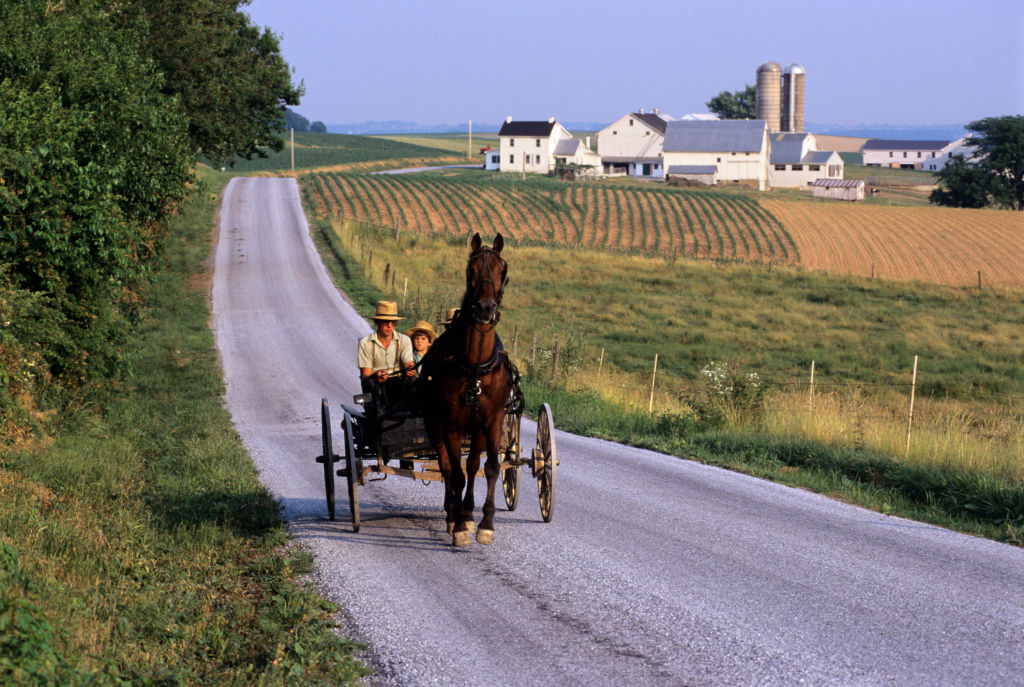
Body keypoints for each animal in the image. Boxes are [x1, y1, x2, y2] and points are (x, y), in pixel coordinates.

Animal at [417, 233, 509, 544]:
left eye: (502, 270)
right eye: (471, 269)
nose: (485, 308)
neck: (476, 366)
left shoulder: (493, 419)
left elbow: (489, 467)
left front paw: (485, 524)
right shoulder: (451, 424)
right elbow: (454, 473)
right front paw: (458, 527)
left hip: (477, 427)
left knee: (472, 465)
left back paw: (467, 513)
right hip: (435, 424)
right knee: (446, 466)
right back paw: (452, 514)